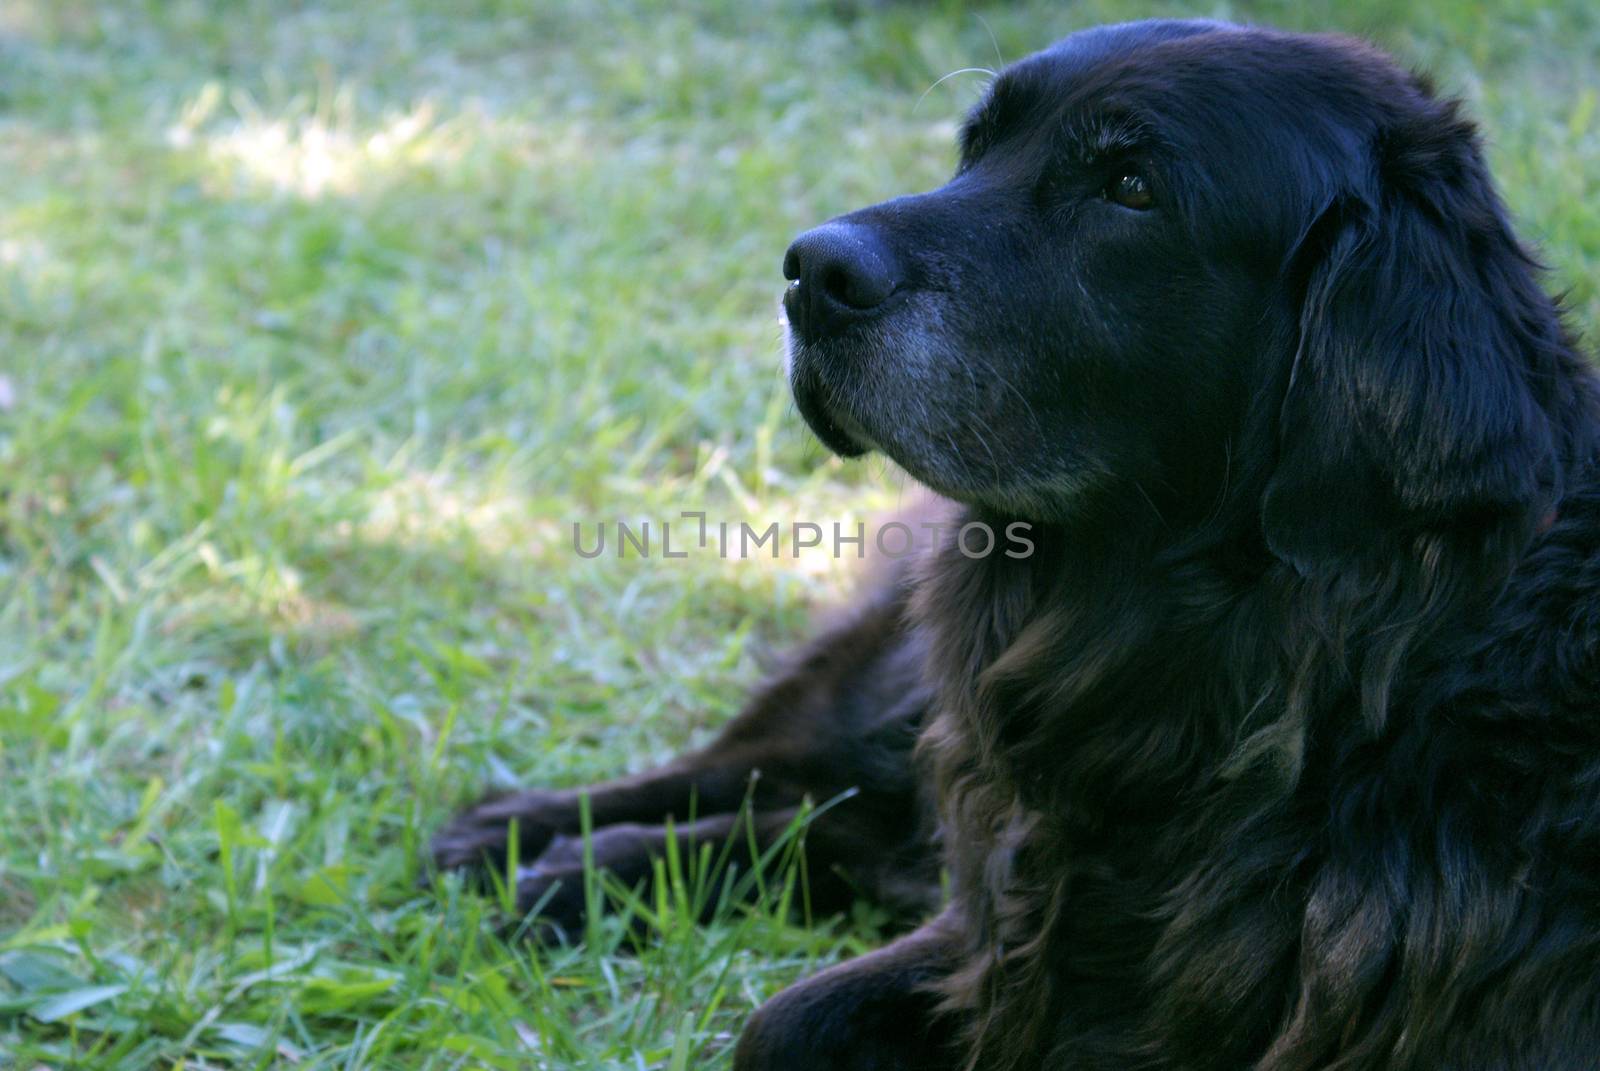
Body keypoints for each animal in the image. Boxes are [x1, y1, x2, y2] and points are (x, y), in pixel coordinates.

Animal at [438, 23, 1600, 1069]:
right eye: (974, 150)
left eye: (1130, 186)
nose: (810, 270)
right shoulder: (1010, 915)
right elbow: (789, 1017)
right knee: (780, 762)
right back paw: (514, 839)